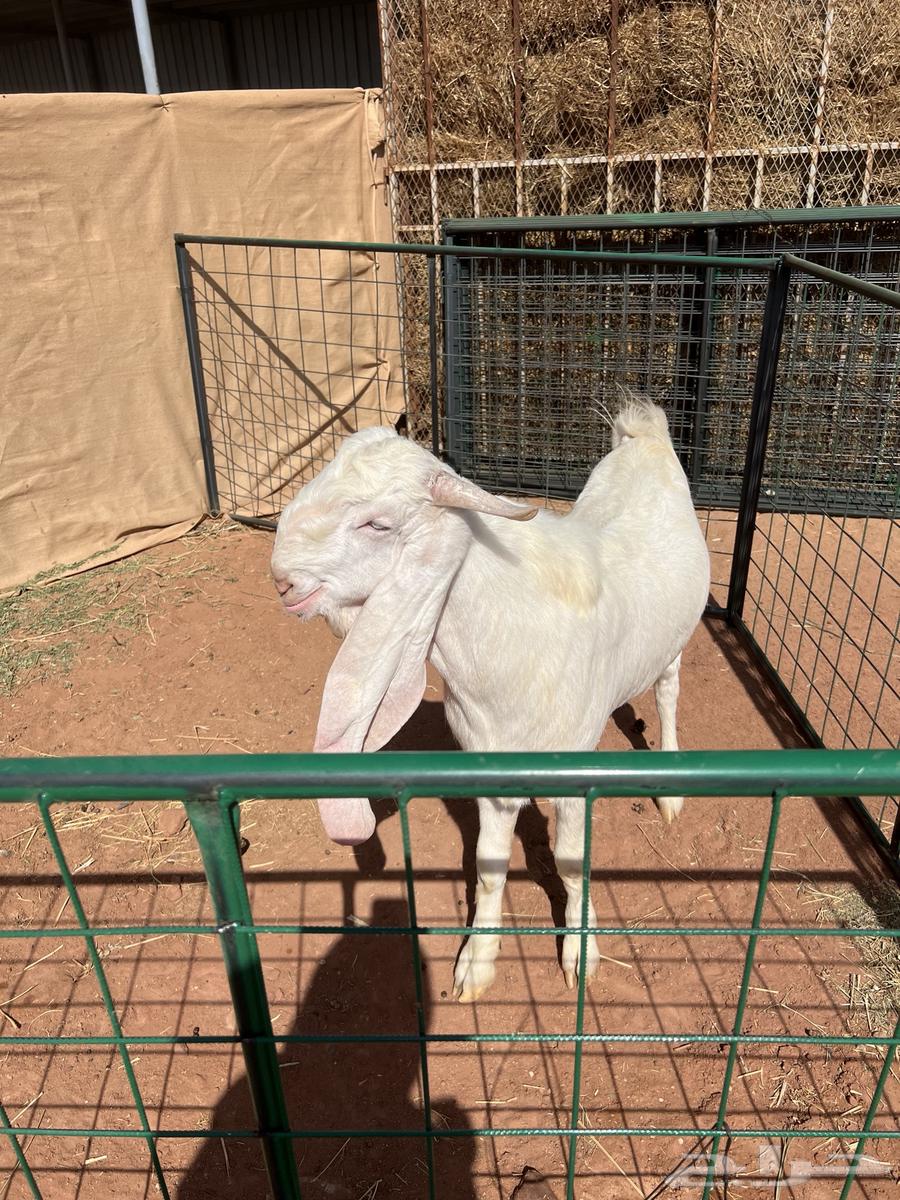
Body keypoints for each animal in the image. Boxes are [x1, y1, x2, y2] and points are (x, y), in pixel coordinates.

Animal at [271, 399, 710, 1000]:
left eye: (377, 524)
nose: (282, 580)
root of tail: (645, 437)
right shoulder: (488, 762)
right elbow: (488, 864)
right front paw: (477, 960)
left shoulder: (576, 765)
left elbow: (571, 861)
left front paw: (580, 951)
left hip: (675, 640)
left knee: (668, 692)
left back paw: (670, 787)